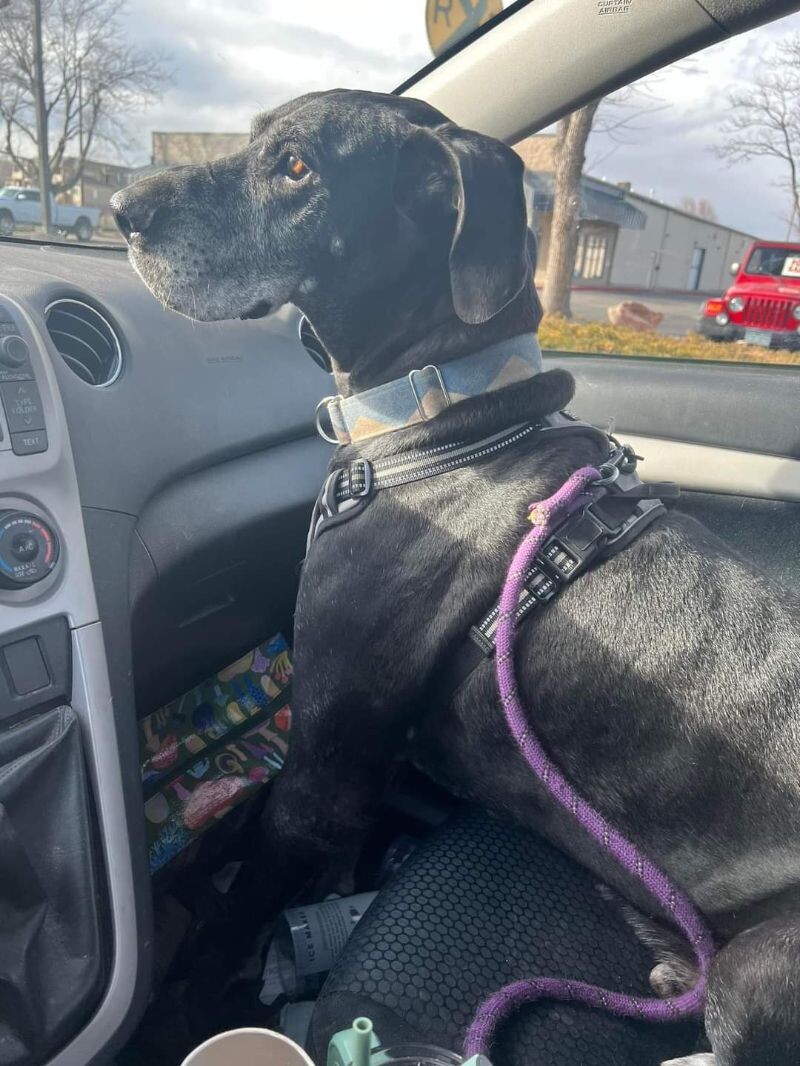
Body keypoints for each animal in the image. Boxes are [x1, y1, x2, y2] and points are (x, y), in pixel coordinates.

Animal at [111, 89, 800, 1066]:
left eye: (297, 167)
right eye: (251, 139)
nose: (120, 211)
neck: (442, 409)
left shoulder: (320, 777)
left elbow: (234, 916)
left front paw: (183, 1001)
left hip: (760, 966)